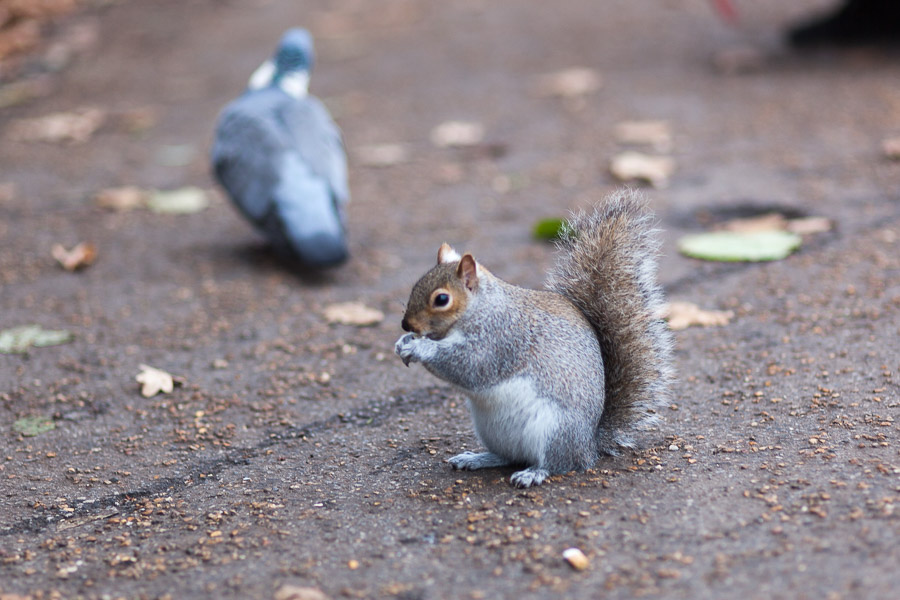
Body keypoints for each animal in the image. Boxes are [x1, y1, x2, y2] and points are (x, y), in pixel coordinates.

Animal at [394, 189, 675, 488]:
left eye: (442, 299)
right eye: (415, 285)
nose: (406, 324)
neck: (481, 308)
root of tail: (589, 445)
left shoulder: (501, 339)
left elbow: (470, 366)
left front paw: (420, 347)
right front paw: (403, 343)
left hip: (554, 430)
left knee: (560, 463)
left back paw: (534, 473)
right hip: (492, 430)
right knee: (507, 456)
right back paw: (477, 458)